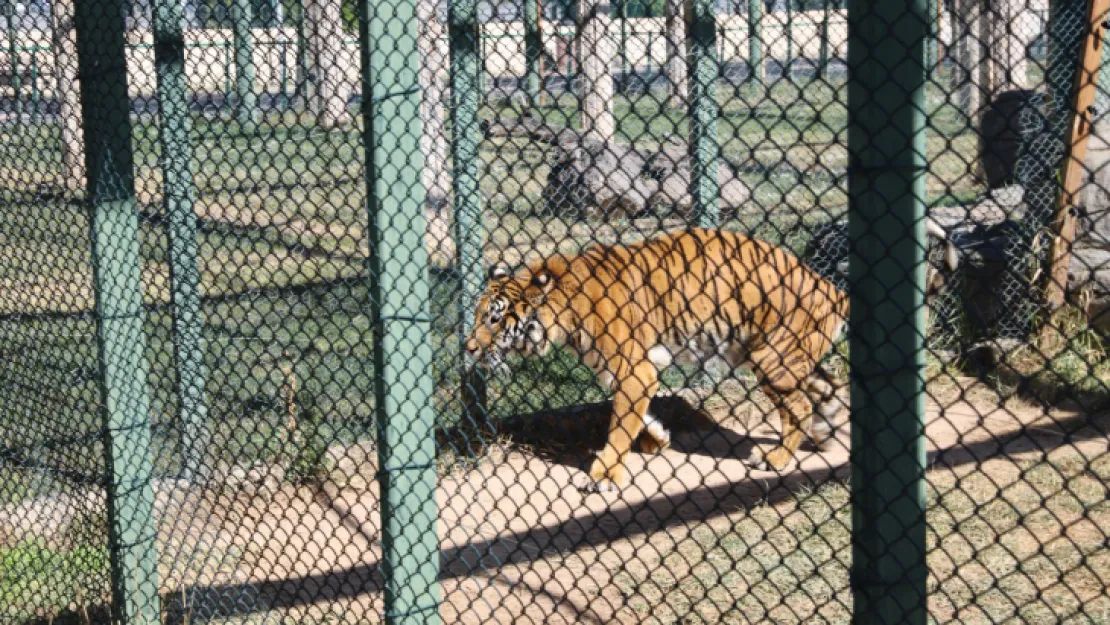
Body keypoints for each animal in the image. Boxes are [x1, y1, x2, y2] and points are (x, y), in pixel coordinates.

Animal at [463, 225, 959, 495]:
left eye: (494, 318)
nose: (468, 348)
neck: (558, 313)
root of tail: (830, 288)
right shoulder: (623, 371)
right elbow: (633, 416)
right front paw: (658, 437)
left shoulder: (632, 368)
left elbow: (619, 425)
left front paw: (604, 475)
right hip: (789, 357)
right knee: (827, 389)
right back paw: (823, 434)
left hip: (771, 358)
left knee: (799, 406)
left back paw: (777, 457)